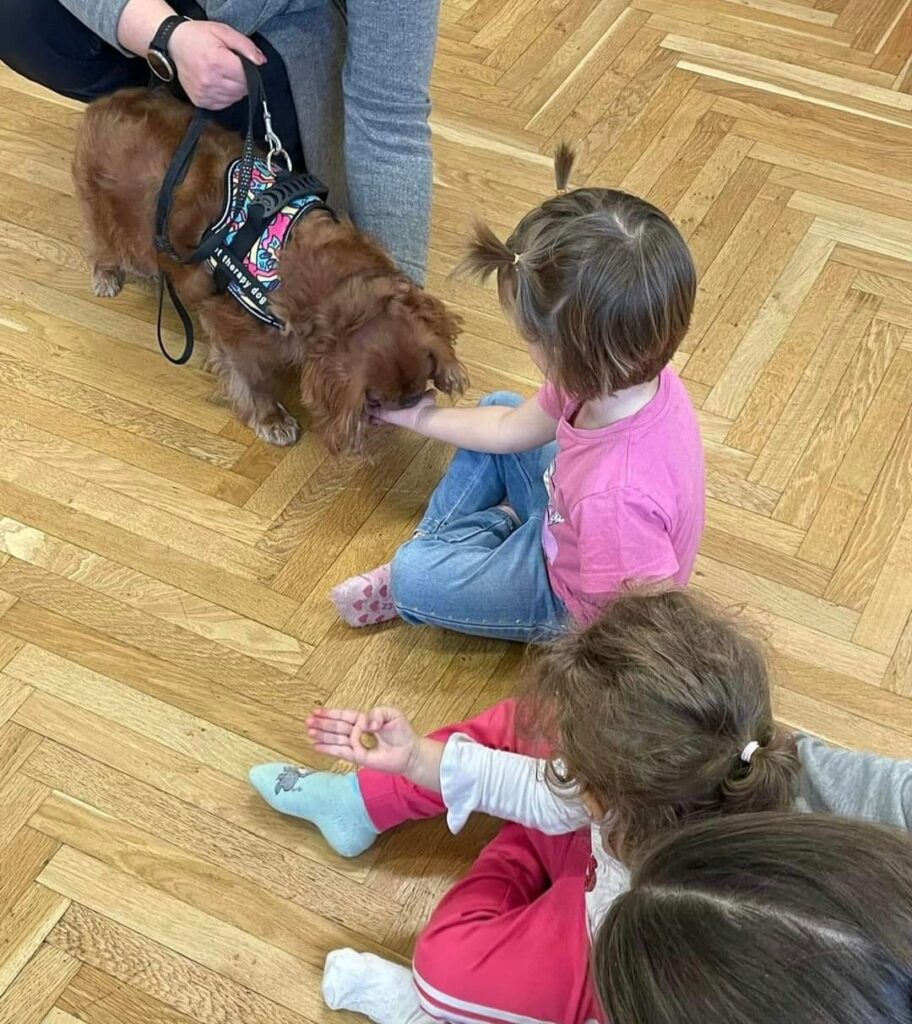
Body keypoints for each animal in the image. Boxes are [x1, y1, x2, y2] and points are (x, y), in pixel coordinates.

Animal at [72, 86, 466, 454]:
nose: (412, 404)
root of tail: (109, 99)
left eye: (421, 386)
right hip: (103, 210)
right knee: (102, 243)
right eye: (379, 399)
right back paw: (106, 275)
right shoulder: (231, 330)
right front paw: (271, 418)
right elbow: (253, 378)